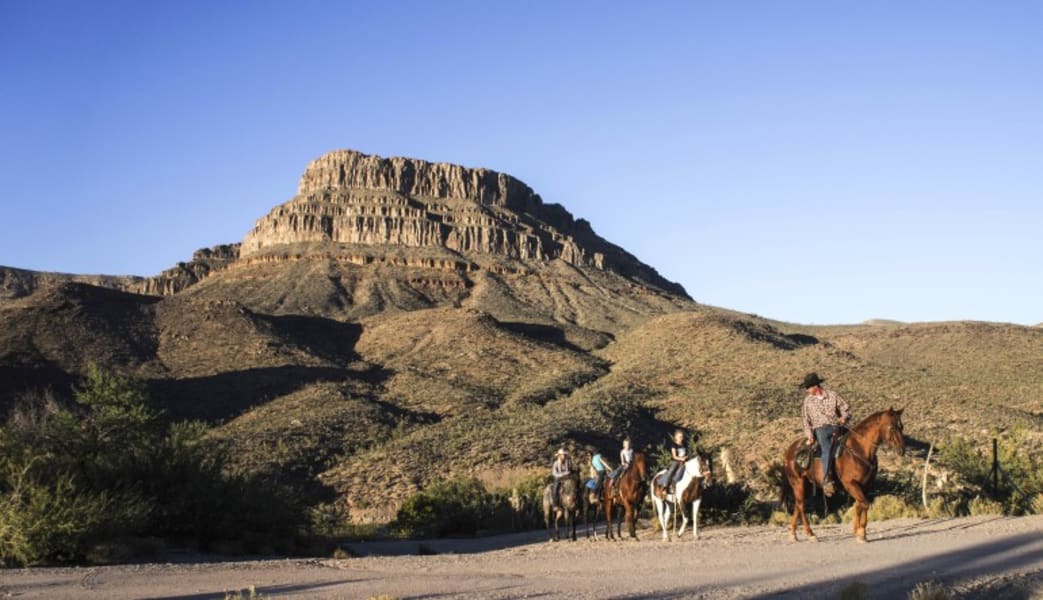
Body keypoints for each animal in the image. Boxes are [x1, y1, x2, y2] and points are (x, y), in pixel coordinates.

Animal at [784, 409, 905, 542]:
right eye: (892, 428)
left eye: (902, 427)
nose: (902, 450)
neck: (859, 449)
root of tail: (790, 449)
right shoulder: (850, 483)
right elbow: (864, 504)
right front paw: (861, 533)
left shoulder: (865, 485)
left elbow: (859, 505)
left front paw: (857, 530)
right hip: (798, 482)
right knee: (801, 506)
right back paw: (810, 534)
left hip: (808, 485)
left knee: (798, 506)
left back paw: (793, 533)